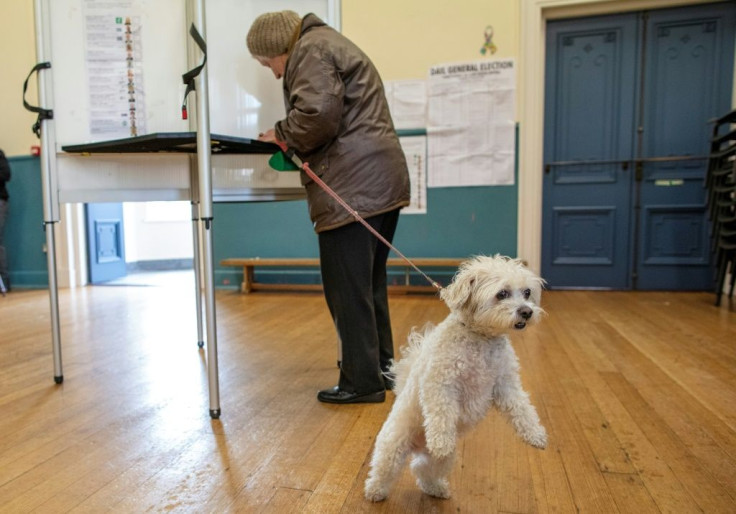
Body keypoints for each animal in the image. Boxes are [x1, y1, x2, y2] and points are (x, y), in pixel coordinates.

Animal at [366, 254, 548, 498]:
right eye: (502, 293)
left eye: (527, 292)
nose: (527, 312)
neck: (482, 340)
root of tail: (417, 447)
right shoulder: (440, 383)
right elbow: (441, 415)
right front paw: (441, 441)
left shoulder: (505, 386)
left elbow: (523, 410)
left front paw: (535, 435)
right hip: (393, 446)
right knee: (383, 470)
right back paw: (375, 491)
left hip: (443, 460)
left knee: (422, 470)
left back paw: (436, 488)